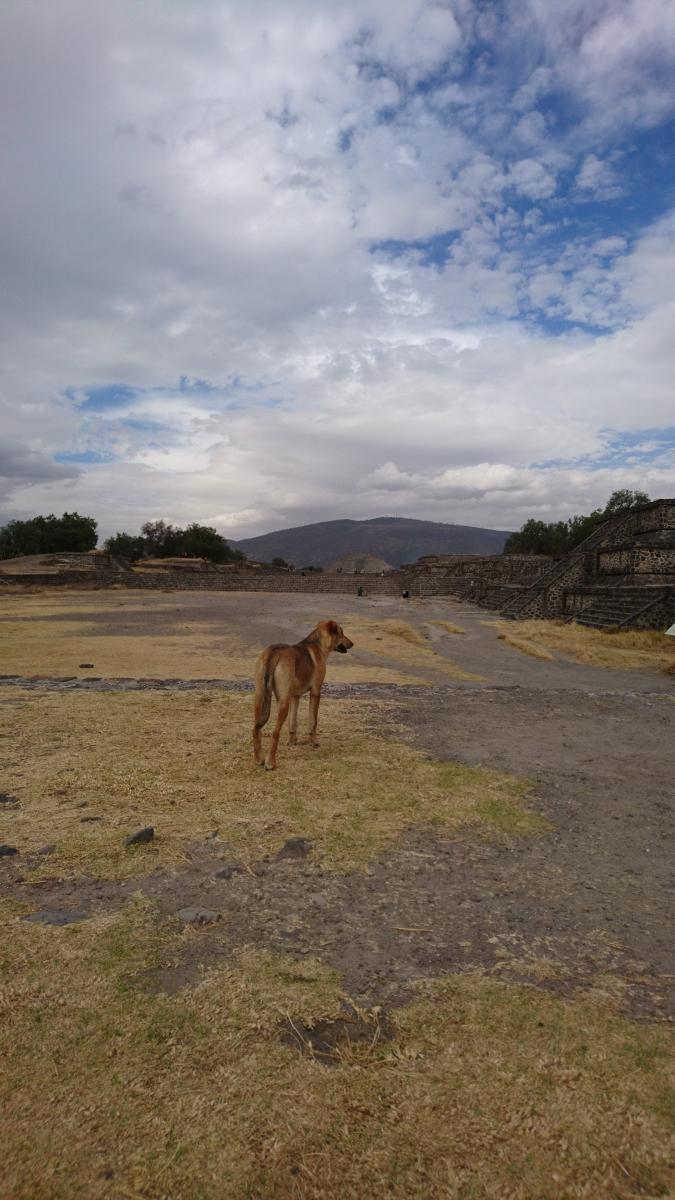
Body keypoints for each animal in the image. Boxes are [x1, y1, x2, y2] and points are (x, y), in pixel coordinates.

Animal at [252, 619, 354, 770]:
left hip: (260, 699)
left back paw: (259, 759)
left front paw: (292, 741)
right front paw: (314, 742)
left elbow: (292, 723)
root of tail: (274, 652)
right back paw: (270, 763)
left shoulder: (295, 697)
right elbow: (313, 722)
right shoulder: (316, 693)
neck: (318, 644)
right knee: (275, 733)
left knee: (256, 729)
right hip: (283, 703)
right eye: (341, 633)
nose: (352, 643)